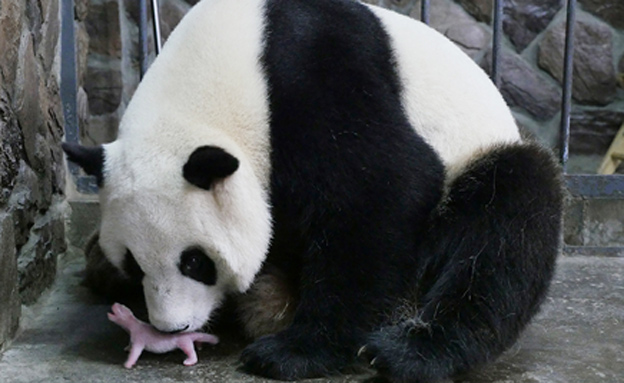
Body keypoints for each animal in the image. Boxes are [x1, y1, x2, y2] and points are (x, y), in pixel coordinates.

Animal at [62, 0, 560, 382]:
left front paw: (293, 353)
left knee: (506, 224)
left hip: (479, 160)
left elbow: (383, 190)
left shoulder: (312, 74)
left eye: (195, 262)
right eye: (134, 263)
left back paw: (411, 351)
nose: (171, 327)